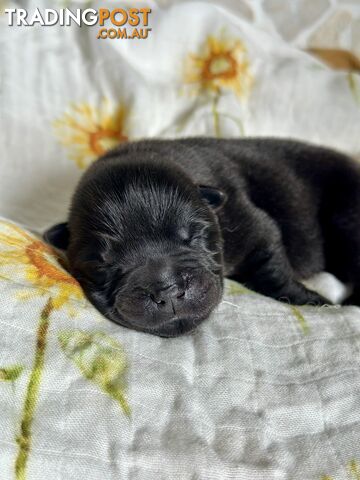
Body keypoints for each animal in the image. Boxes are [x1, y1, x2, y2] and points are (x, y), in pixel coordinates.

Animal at [44, 137, 360, 336]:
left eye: (194, 235)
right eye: (102, 265)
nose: (167, 290)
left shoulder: (252, 227)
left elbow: (271, 271)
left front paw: (313, 301)